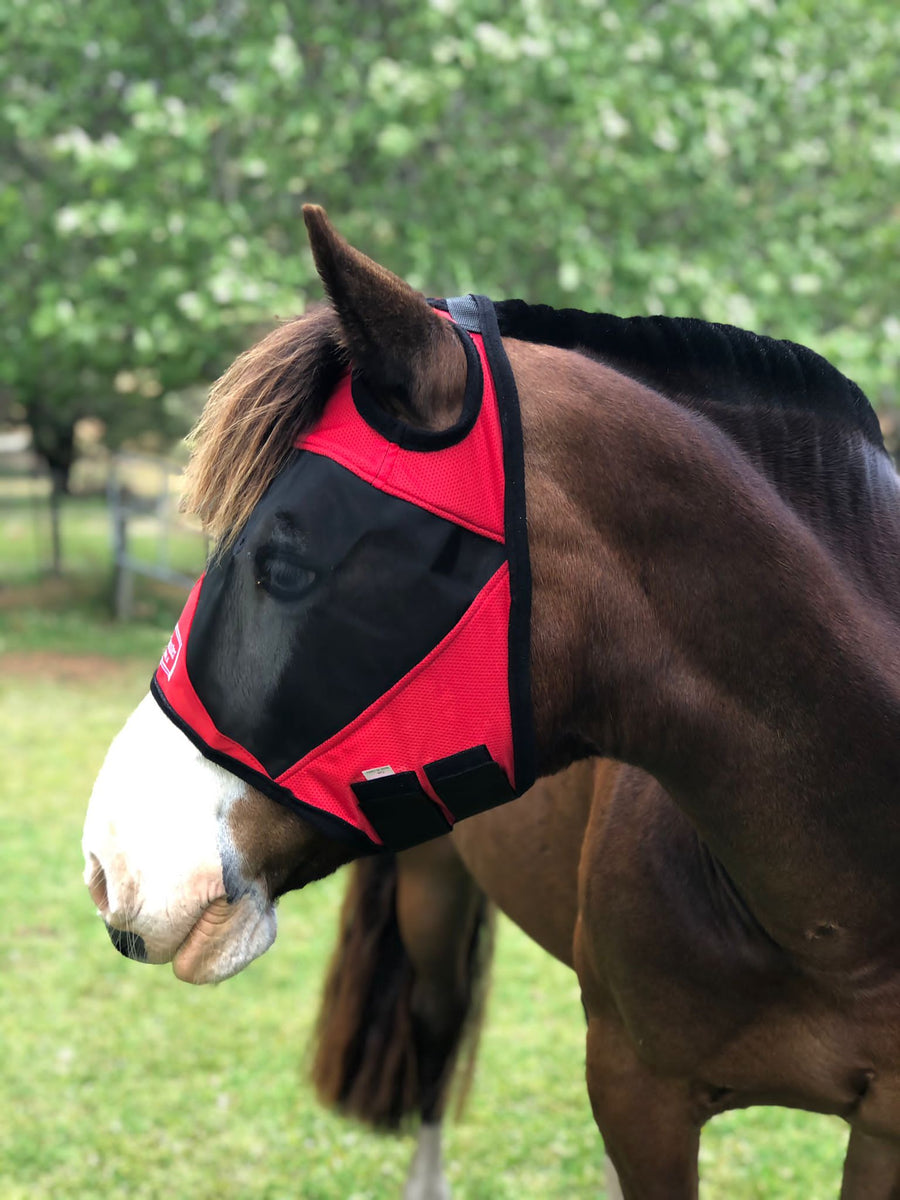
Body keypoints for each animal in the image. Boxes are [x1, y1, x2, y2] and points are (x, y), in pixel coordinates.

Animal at [82, 208, 900, 1200]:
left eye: (284, 562)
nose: (107, 860)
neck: (840, 918)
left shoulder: (882, 1131)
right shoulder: (639, 1093)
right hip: (433, 901)